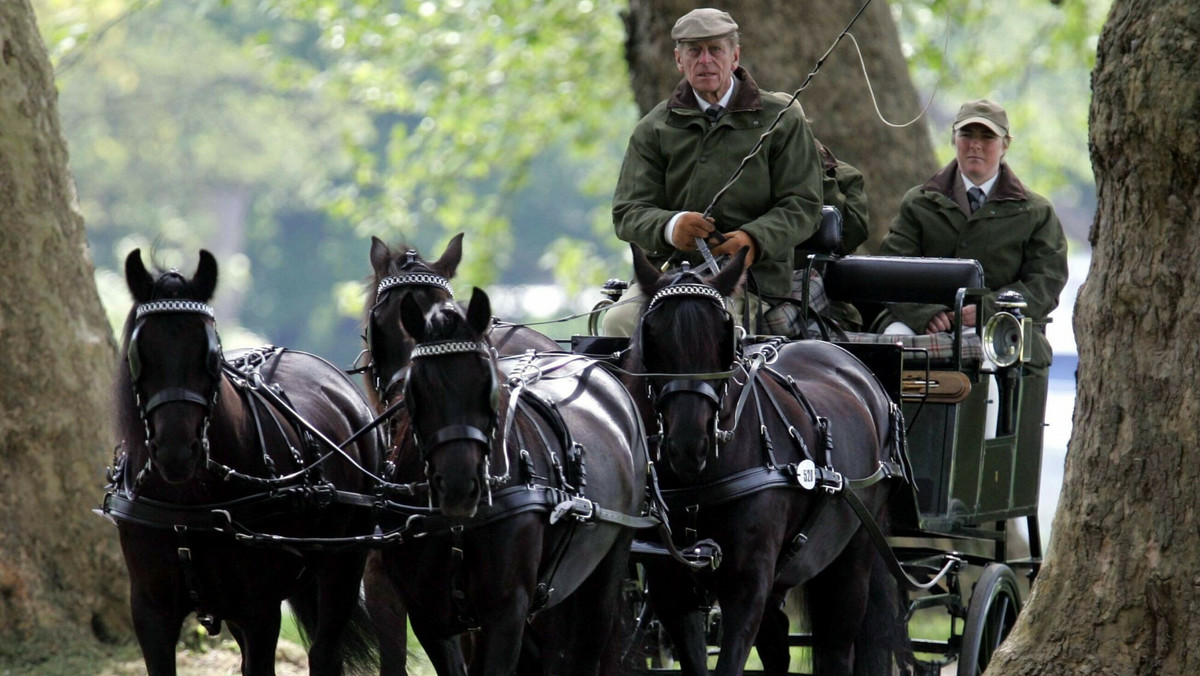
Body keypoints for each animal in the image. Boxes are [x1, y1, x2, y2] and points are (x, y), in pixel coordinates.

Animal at [107, 250, 381, 676]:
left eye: (210, 354)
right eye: (138, 354)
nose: (176, 452)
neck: (189, 508)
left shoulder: (260, 611)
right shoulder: (152, 612)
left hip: (344, 564)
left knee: (325, 652)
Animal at [376, 290, 648, 676]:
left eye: (489, 383)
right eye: (416, 390)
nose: (459, 488)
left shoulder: (506, 611)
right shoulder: (429, 616)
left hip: (607, 569)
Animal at [628, 248, 907, 676]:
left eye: (725, 336)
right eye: (652, 336)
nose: (689, 444)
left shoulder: (748, 587)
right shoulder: (670, 590)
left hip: (852, 559)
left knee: (837, 646)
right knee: (779, 649)